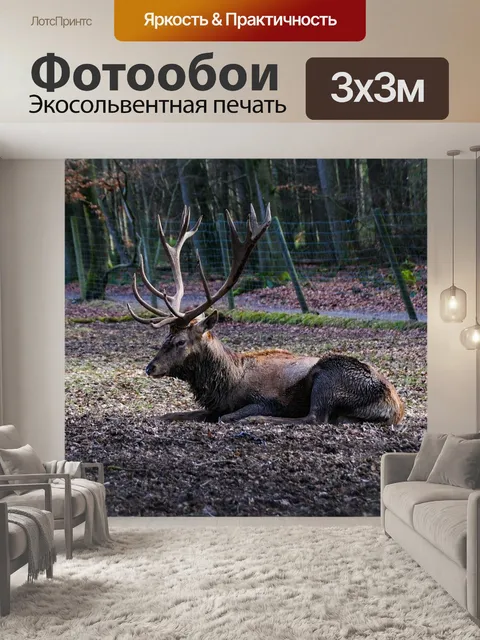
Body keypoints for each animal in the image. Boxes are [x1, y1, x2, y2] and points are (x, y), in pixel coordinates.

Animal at [128, 205, 405, 426]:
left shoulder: (269, 400)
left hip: (329, 375)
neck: (229, 385)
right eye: (165, 338)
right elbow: (171, 414)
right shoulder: (213, 407)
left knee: (315, 417)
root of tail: (395, 408)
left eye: (180, 341)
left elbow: (227, 416)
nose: (150, 367)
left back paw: (256, 419)